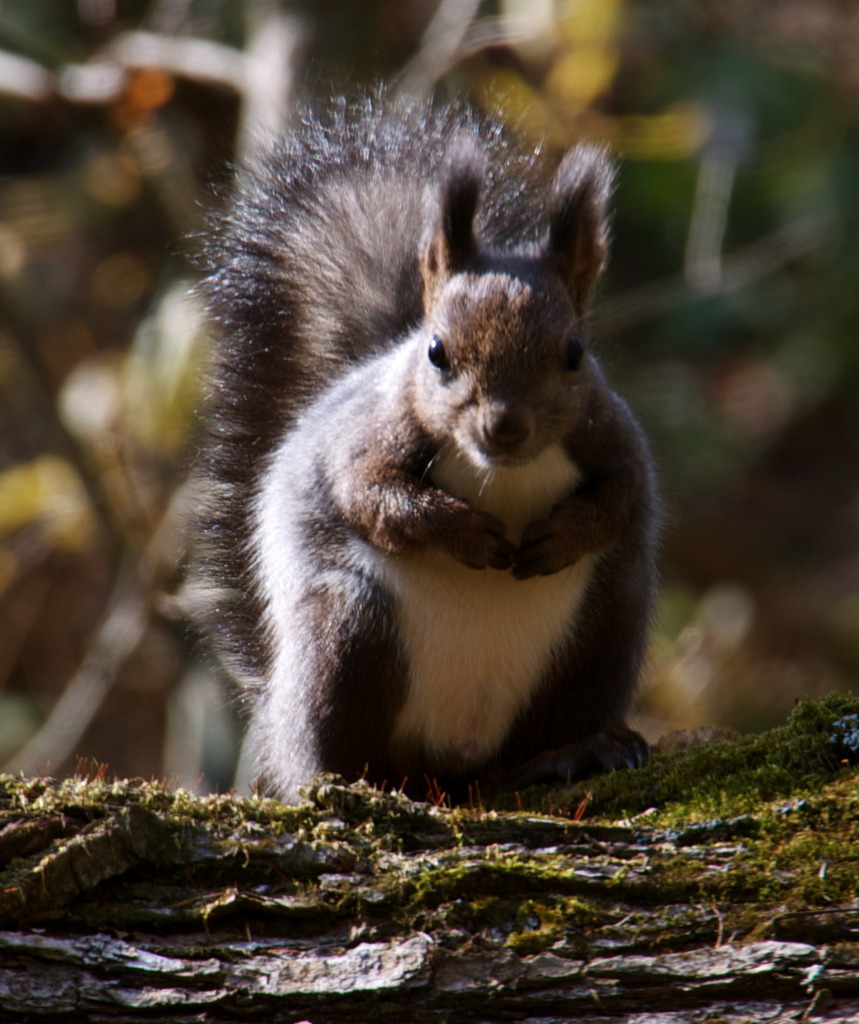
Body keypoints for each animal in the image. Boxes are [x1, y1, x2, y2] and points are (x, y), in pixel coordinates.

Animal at [199, 97, 659, 798]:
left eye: (575, 353)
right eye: (437, 351)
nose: (505, 427)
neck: (502, 472)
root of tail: (453, 758)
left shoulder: (612, 436)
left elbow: (623, 495)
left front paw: (564, 534)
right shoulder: (366, 440)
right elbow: (368, 494)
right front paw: (462, 533)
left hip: (600, 636)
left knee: (527, 748)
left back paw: (569, 753)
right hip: (349, 629)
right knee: (333, 746)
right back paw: (344, 781)